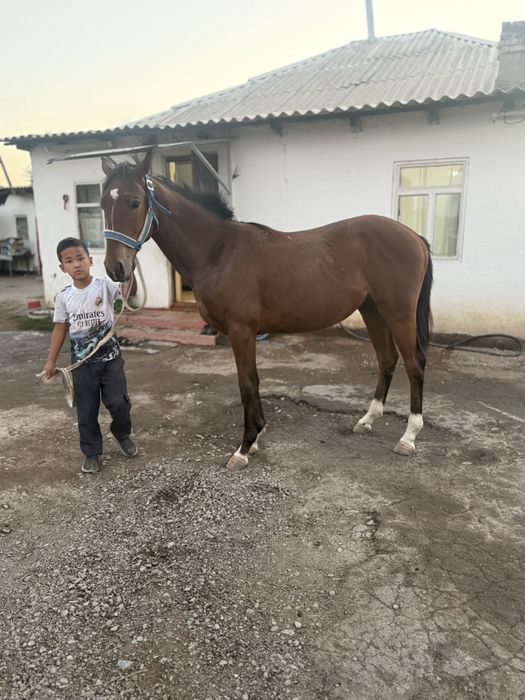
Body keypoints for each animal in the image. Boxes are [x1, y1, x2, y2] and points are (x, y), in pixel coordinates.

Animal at [101, 151, 432, 470]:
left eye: (135, 202)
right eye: (102, 203)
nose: (116, 268)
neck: (218, 252)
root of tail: (414, 236)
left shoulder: (241, 331)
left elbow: (246, 383)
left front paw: (244, 447)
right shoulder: (245, 333)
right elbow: (255, 380)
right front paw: (258, 435)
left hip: (398, 314)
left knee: (414, 364)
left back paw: (408, 437)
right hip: (372, 310)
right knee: (386, 360)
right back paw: (367, 420)